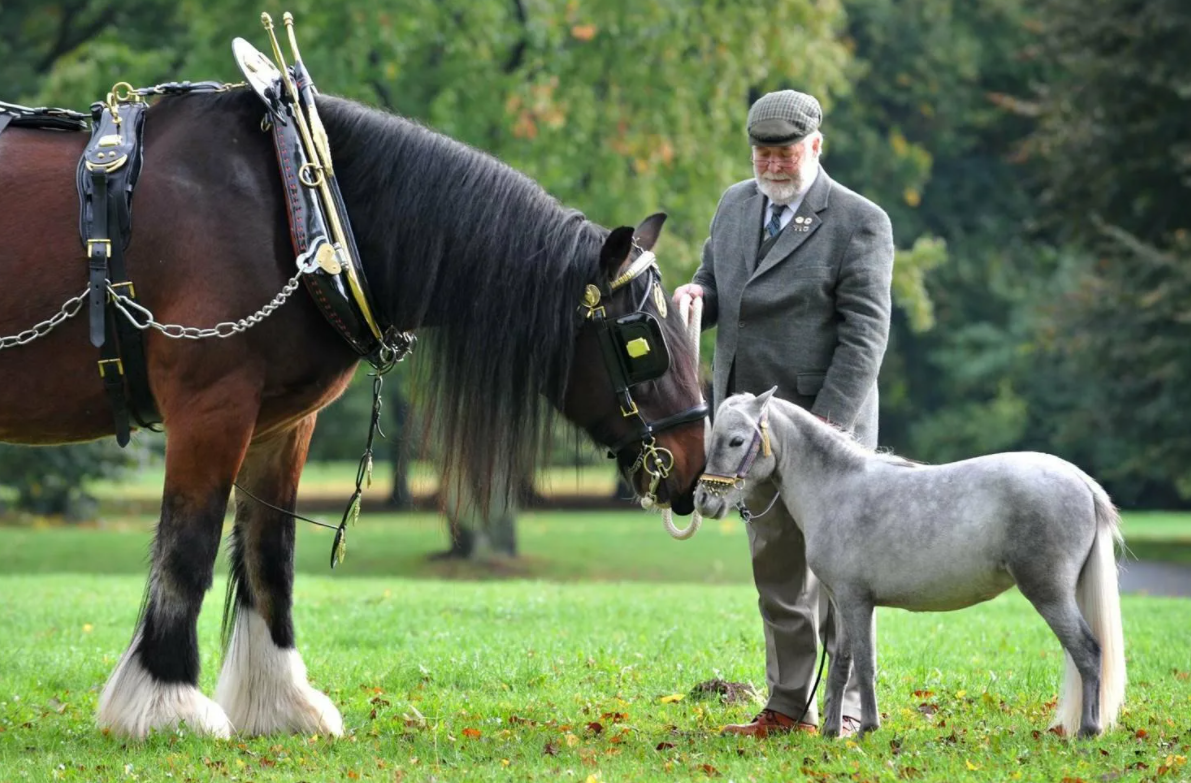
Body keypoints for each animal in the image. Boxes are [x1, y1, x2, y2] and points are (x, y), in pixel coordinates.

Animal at [0, 88, 705, 734]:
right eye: (642, 339)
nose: (695, 462)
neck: (302, 204)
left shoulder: (280, 425)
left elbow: (269, 552)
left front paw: (280, 702)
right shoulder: (210, 406)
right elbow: (189, 546)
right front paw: (166, 702)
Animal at [695, 390, 1119, 738]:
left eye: (736, 440)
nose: (703, 501)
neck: (835, 488)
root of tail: (1080, 480)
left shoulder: (855, 601)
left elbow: (864, 663)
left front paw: (867, 729)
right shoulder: (843, 602)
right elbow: (842, 663)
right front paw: (832, 732)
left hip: (1049, 594)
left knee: (1088, 652)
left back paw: (1089, 731)